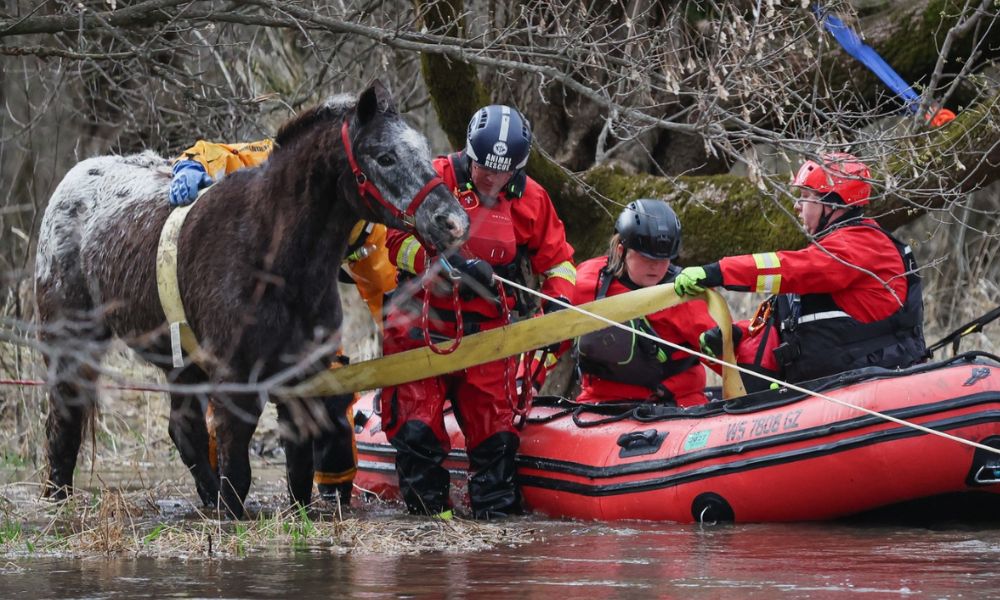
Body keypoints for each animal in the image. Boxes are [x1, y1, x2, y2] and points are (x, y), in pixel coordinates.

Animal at [33, 81, 469, 518]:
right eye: (385, 157)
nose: (453, 221)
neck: (269, 253)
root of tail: (71, 183)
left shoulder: (303, 376)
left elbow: (299, 469)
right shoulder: (236, 381)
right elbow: (239, 470)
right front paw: (231, 515)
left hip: (181, 365)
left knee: (184, 430)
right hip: (71, 344)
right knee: (64, 420)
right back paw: (58, 497)